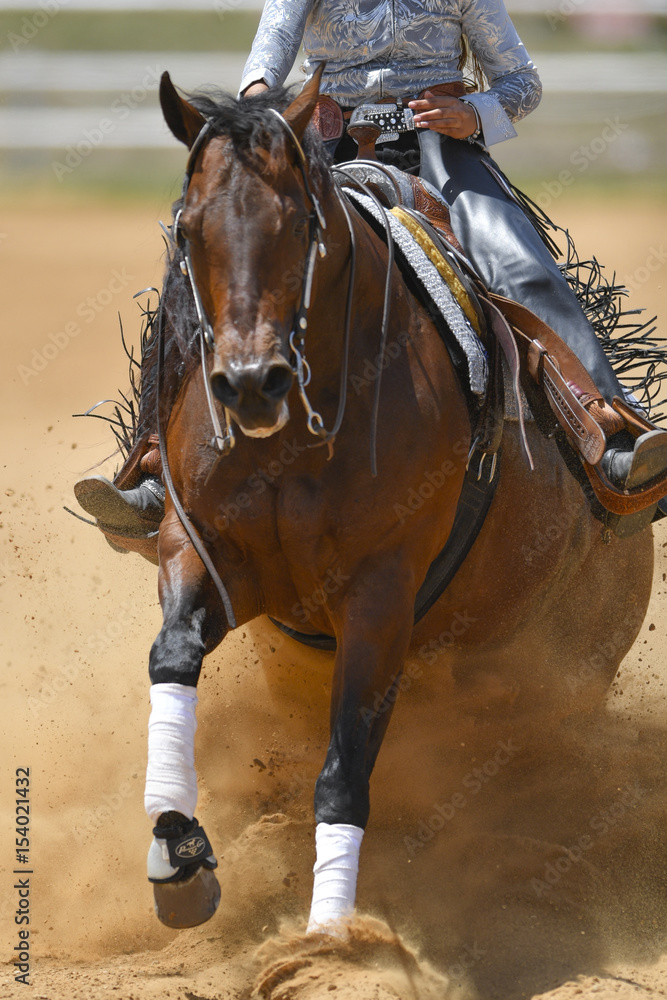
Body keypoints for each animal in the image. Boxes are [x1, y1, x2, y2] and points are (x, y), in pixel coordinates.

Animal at [127, 66, 654, 934]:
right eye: (188, 227)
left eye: (302, 223)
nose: (249, 382)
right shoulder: (204, 549)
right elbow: (171, 656)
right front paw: (177, 852)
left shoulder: (379, 594)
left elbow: (344, 771)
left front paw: (331, 939)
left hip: (568, 676)